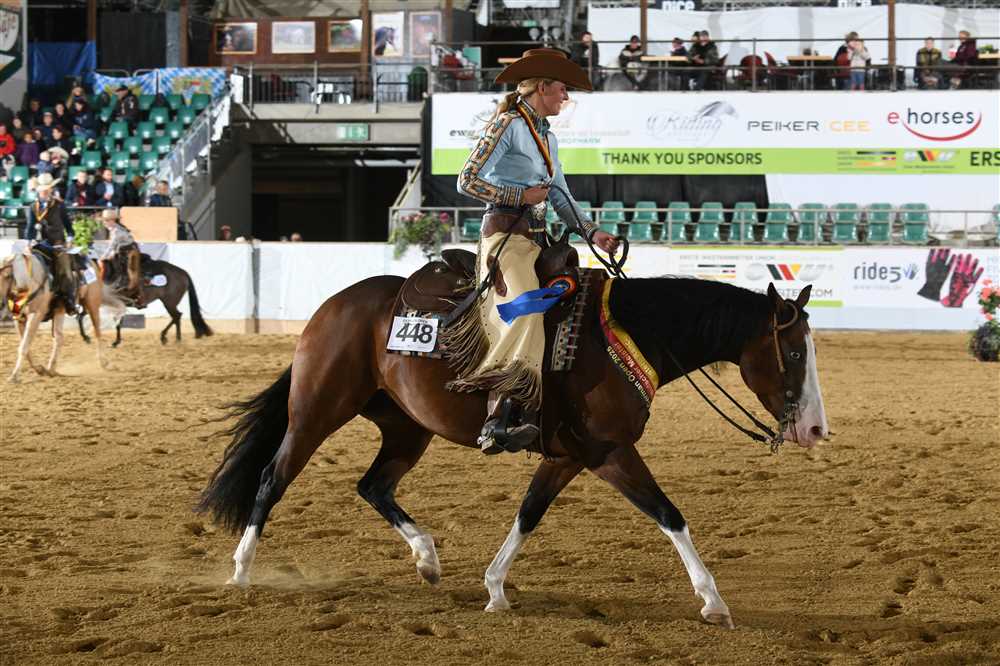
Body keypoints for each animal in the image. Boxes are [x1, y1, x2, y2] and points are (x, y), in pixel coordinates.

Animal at [1, 251, 126, 383]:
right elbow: (26, 346)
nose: (0, 303)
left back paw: (104, 361)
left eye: (7, 276)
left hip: (92, 303)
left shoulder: (36, 315)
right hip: (59, 310)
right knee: (59, 337)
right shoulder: (19, 319)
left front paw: (14, 376)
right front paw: (39, 369)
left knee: (97, 332)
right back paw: (51, 369)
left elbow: (24, 346)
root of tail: (91, 261)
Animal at [78, 256, 212, 347]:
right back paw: (176, 339)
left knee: (176, 316)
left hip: (169, 302)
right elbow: (81, 317)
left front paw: (115, 342)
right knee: (177, 317)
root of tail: (183, 273)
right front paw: (87, 338)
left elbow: (117, 323)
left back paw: (166, 337)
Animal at [197, 263, 828, 630]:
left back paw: (427, 559)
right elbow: (670, 515)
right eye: (795, 353)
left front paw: (496, 588)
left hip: (407, 427)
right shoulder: (609, 453)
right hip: (316, 412)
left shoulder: (567, 457)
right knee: (272, 479)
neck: (621, 338)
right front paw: (713, 601)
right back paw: (241, 570)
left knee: (373, 485)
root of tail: (332, 307)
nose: (817, 429)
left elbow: (528, 514)